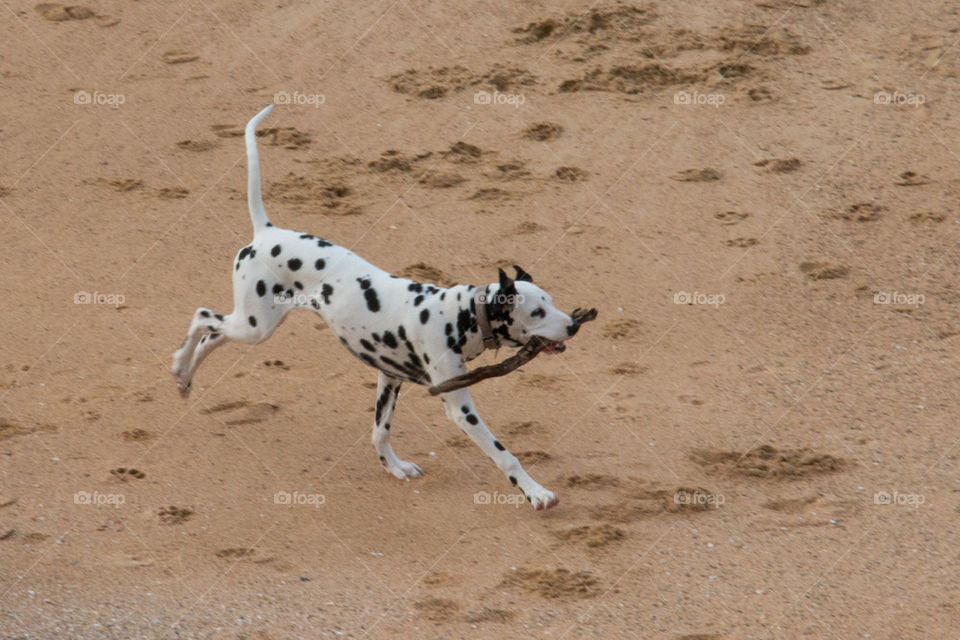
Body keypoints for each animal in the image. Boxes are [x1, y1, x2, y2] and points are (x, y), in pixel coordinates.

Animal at [169, 105, 580, 510]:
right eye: (537, 313)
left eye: (552, 302)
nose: (574, 325)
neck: (460, 316)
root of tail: (266, 232)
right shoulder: (459, 406)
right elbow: (505, 455)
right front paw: (536, 492)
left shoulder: (390, 377)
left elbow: (380, 432)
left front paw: (394, 467)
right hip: (254, 325)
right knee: (202, 317)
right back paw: (178, 366)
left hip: (254, 325)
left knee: (211, 336)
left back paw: (186, 379)